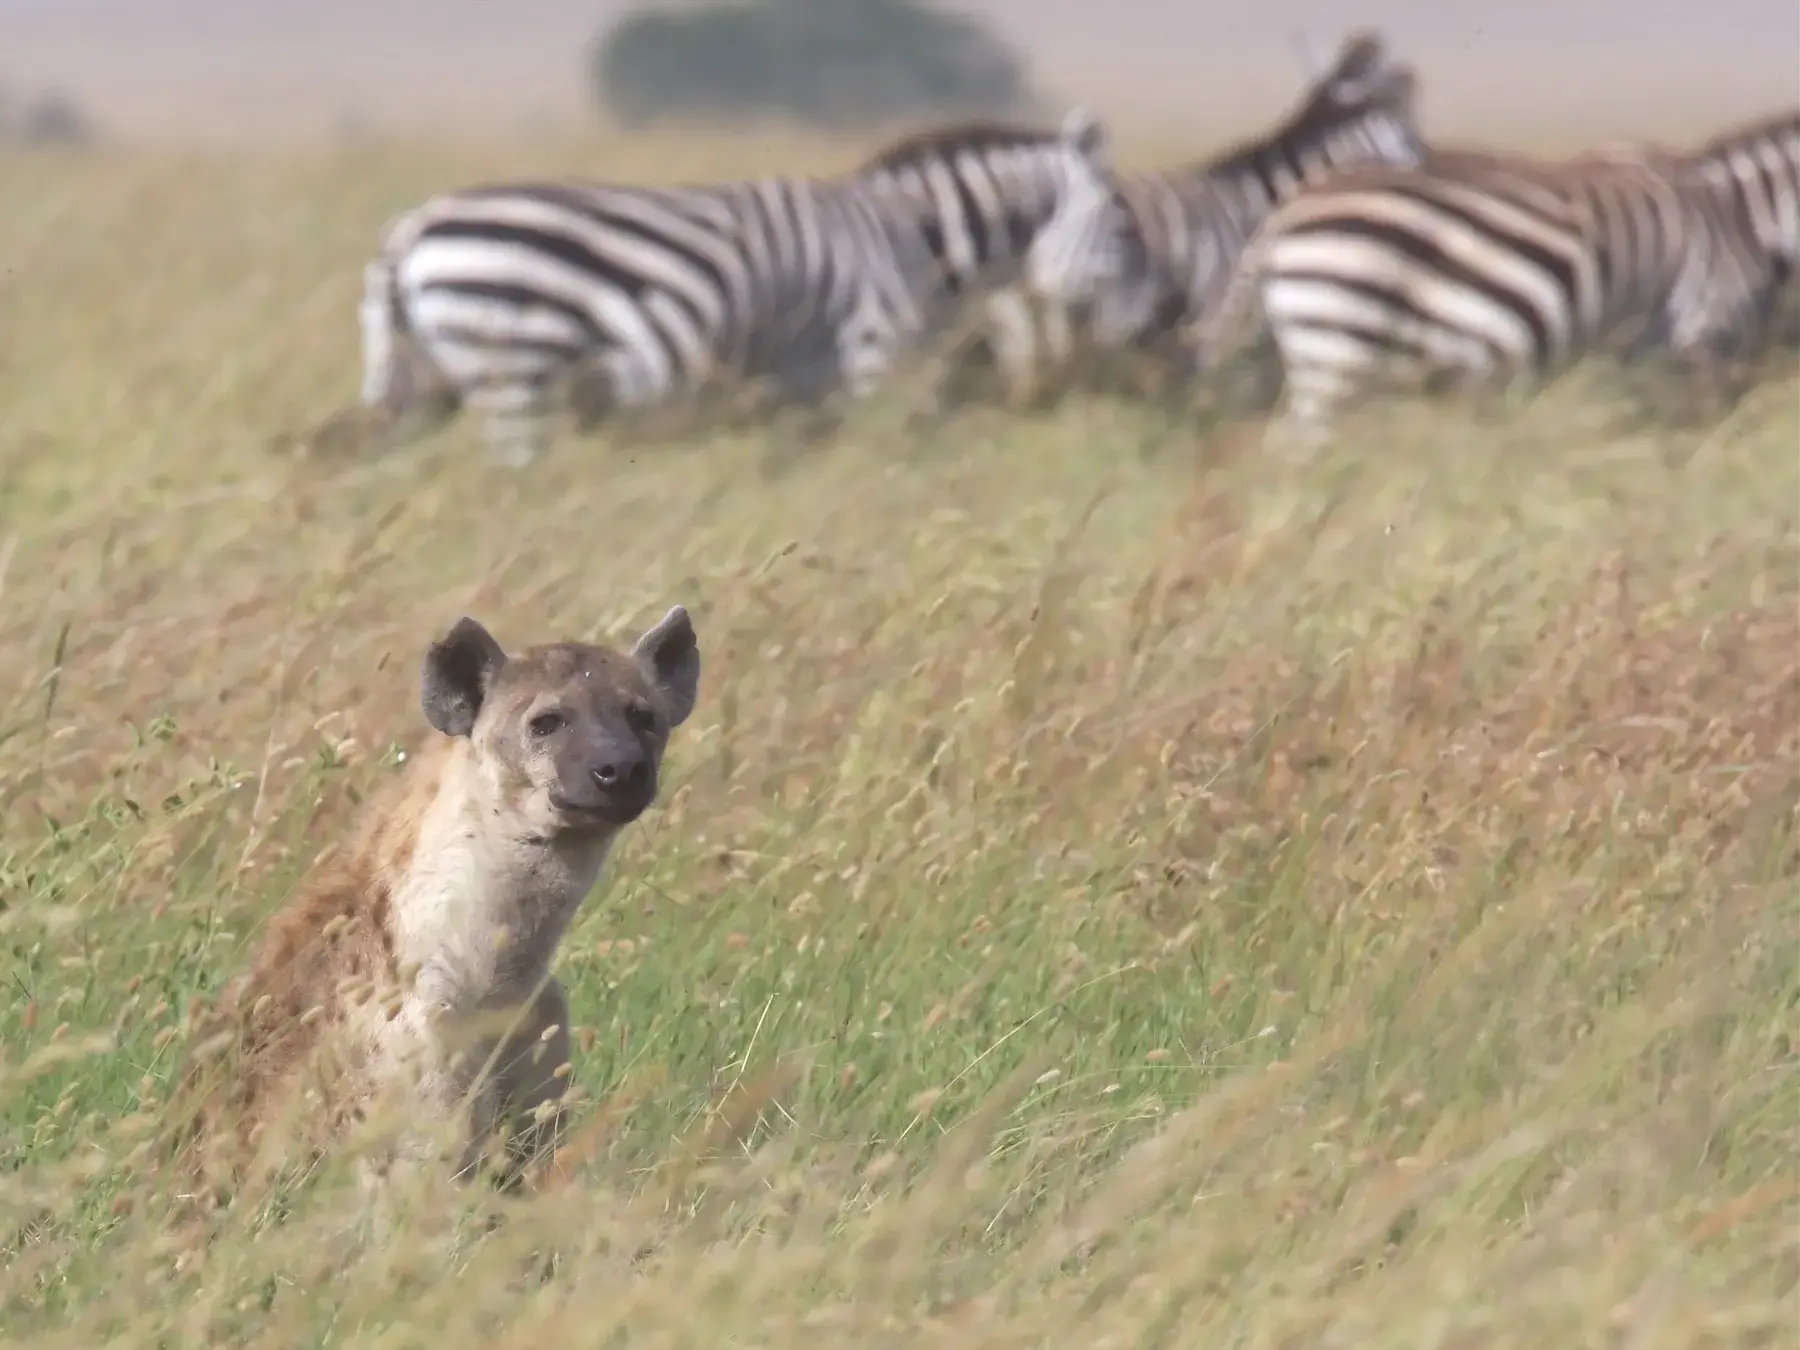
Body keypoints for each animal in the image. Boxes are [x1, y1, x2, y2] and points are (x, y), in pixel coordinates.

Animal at [339, 109, 1129, 467]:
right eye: (1123, 222)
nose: (1122, 345)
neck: (914, 238)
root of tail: (410, 229)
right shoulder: (869, 359)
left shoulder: (801, 392)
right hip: (517, 375)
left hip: (432, 383)